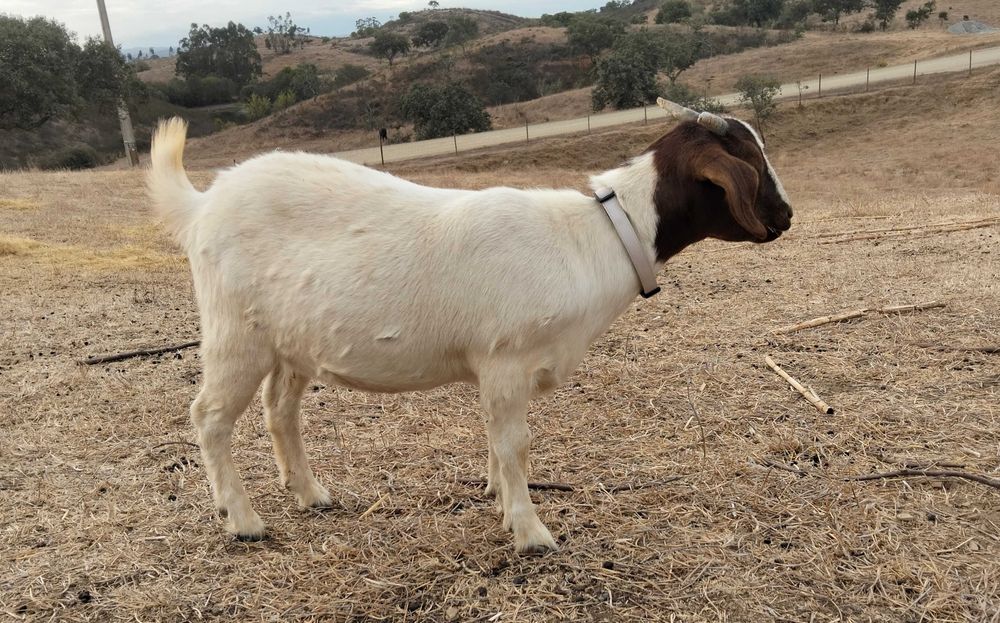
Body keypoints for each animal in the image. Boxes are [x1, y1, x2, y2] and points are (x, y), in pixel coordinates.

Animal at [147, 99, 793, 553]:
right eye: (753, 164)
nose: (786, 216)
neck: (597, 237)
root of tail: (201, 206)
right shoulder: (507, 357)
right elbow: (515, 444)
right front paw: (531, 532)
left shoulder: (498, 369)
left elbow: (495, 441)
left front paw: (499, 500)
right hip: (234, 332)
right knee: (209, 416)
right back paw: (243, 520)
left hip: (290, 341)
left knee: (280, 409)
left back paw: (310, 495)